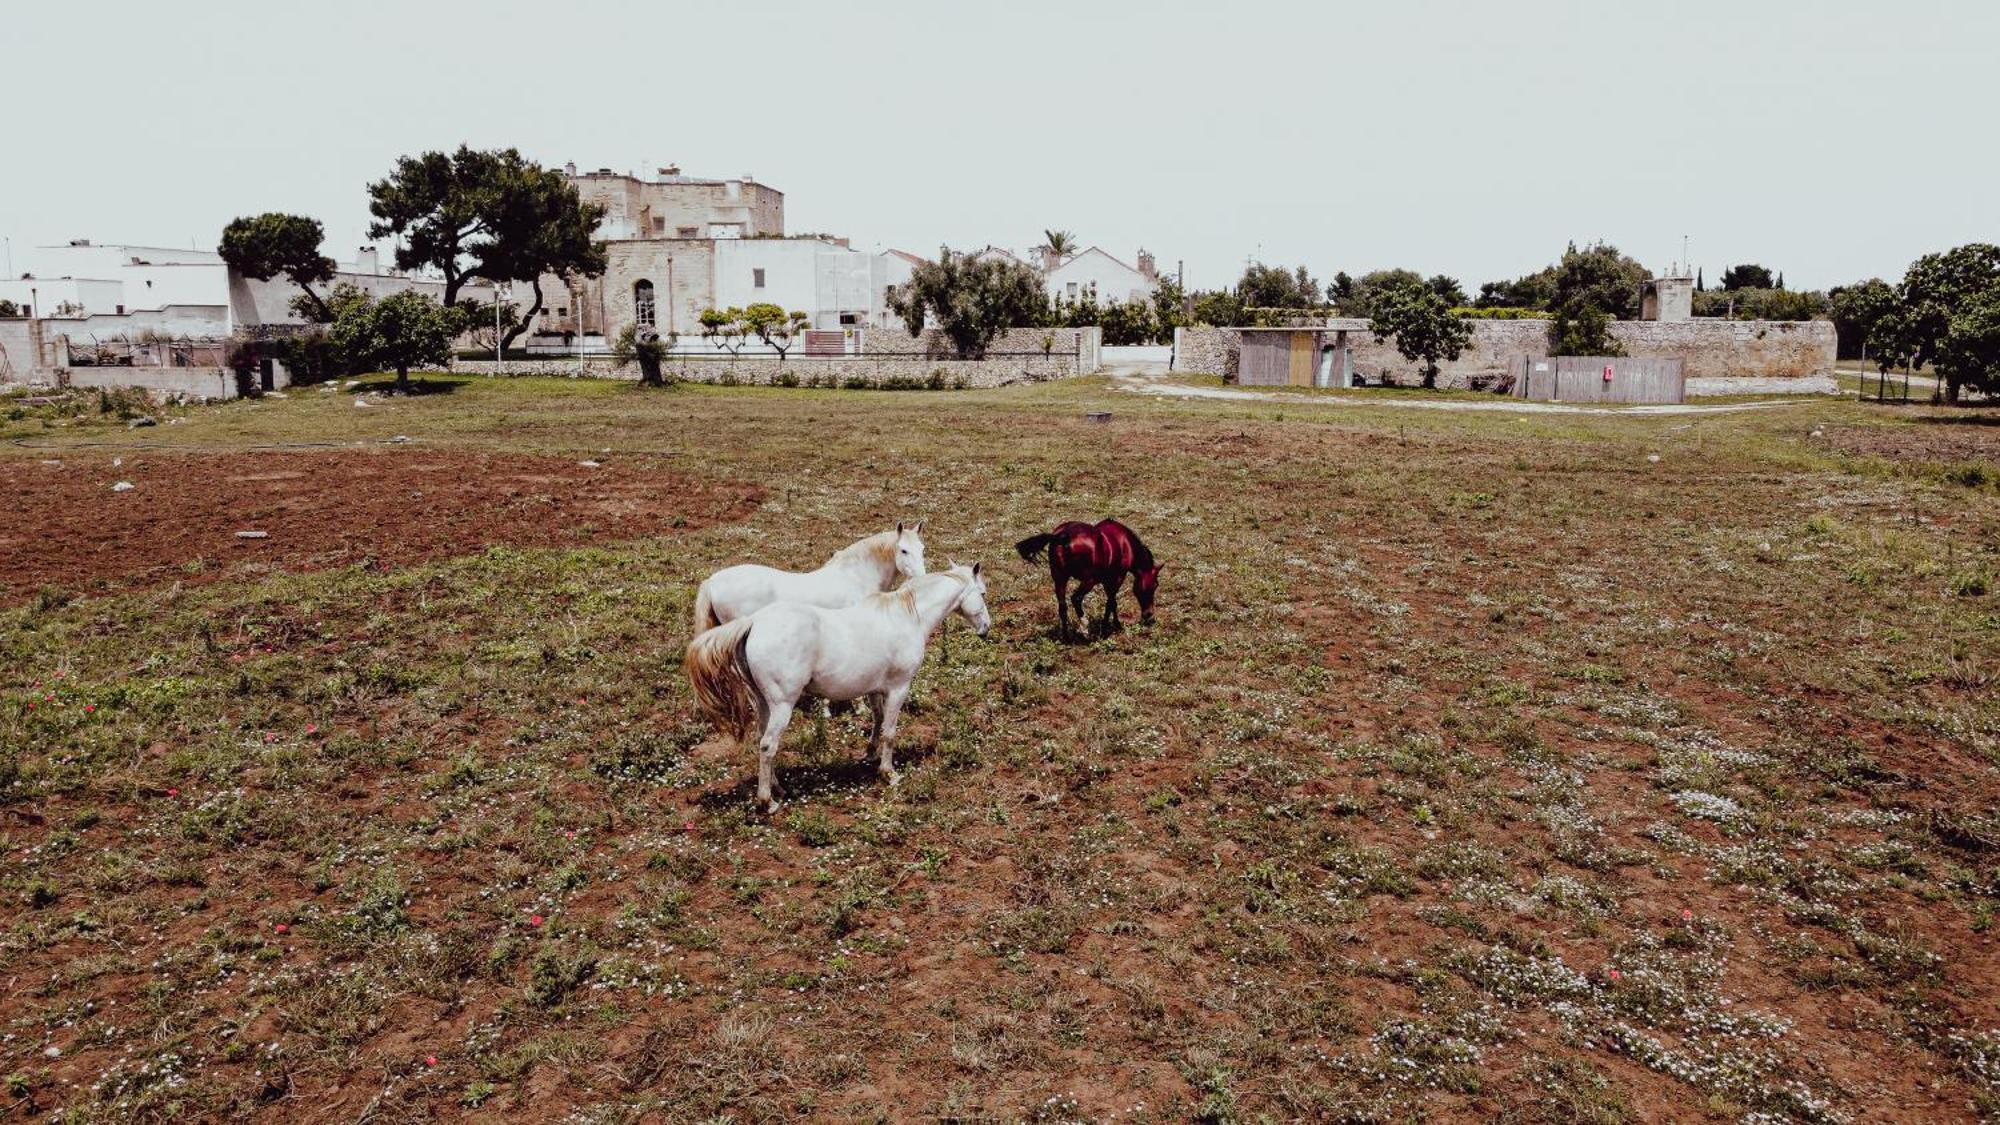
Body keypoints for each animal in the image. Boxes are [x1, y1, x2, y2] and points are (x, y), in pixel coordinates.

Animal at [688, 564, 992, 808]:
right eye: (983, 593)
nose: (986, 628)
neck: (907, 617)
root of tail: (755, 623)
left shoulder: (875, 689)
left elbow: (877, 720)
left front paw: (869, 754)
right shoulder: (899, 688)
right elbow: (890, 731)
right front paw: (888, 773)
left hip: (764, 704)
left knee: (762, 740)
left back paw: (778, 787)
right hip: (782, 705)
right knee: (768, 746)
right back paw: (768, 801)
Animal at [1016, 516, 1160, 640]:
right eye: (1154, 585)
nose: (1149, 616)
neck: (1125, 543)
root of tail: (1063, 536)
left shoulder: (1107, 581)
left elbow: (1112, 602)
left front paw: (1115, 625)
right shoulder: (1118, 578)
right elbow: (1110, 602)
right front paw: (1106, 628)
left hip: (1060, 578)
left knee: (1062, 606)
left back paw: (1066, 637)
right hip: (1089, 581)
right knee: (1076, 598)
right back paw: (1085, 628)